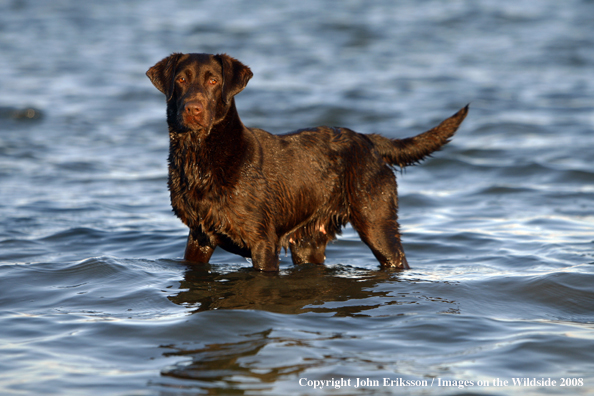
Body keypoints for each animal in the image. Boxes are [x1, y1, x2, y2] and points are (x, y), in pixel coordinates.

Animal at [145, 53, 468, 272]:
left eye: (214, 80)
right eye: (181, 79)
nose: (193, 109)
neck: (200, 158)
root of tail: (368, 140)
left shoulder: (262, 243)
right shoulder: (198, 237)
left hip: (377, 223)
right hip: (308, 242)